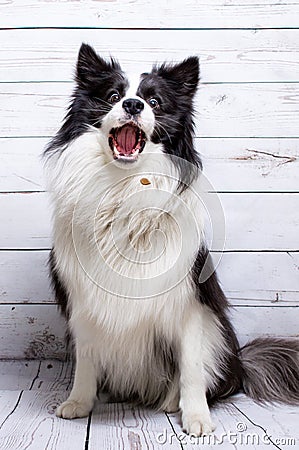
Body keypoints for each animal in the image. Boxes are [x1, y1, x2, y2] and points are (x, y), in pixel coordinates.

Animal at [45, 44, 299, 434]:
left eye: (154, 101)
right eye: (113, 96)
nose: (134, 105)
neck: (125, 185)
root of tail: (242, 366)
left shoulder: (191, 306)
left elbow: (192, 369)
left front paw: (196, 418)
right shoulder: (84, 302)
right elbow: (86, 361)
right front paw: (79, 403)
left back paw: (171, 402)